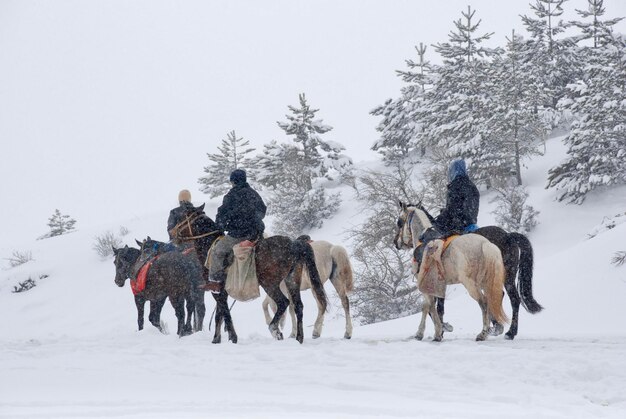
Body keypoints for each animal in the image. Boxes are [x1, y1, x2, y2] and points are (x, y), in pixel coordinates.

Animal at [171, 203, 326, 344]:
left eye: (181, 218)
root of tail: (295, 244)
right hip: (292, 280)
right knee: (298, 306)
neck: (209, 245)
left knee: (283, 302)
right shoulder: (222, 291)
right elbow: (220, 314)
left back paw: (275, 330)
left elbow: (224, 313)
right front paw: (219, 338)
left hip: (269, 283)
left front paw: (230, 338)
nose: (172, 233)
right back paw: (299, 338)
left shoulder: (217, 291)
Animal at [394, 203, 540, 342]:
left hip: (478, 282)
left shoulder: (427, 285)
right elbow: (434, 308)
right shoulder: (439, 285)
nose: (396, 242)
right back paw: (497, 328)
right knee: (495, 298)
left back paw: (492, 333)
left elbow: (428, 308)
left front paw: (432, 332)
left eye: (399, 222)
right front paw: (438, 330)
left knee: (490, 301)